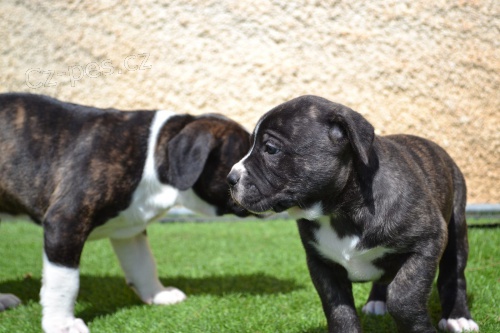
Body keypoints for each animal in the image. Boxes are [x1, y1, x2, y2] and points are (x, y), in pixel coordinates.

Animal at [0, 92, 250, 332]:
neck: (152, 156)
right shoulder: (66, 222)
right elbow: (64, 281)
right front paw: (61, 324)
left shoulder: (129, 229)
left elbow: (143, 263)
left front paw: (157, 294)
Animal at [228, 94, 480, 330]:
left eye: (270, 149)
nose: (230, 179)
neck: (337, 212)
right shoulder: (322, 266)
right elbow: (339, 310)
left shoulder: (428, 242)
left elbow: (404, 297)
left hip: (456, 228)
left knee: (453, 274)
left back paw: (458, 317)